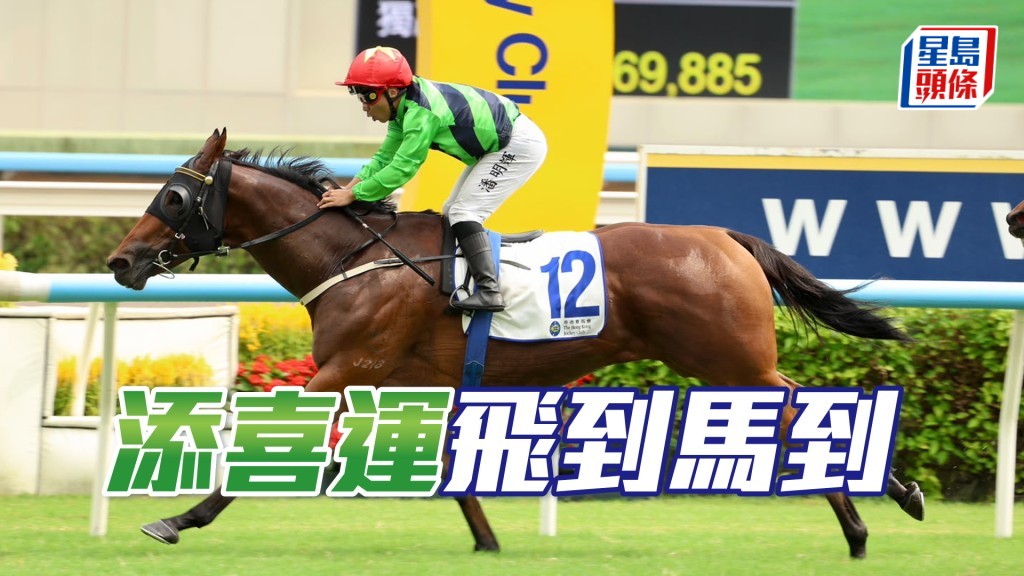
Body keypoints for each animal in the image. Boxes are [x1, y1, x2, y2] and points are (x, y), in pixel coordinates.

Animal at [107, 128, 924, 558]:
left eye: (172, 198)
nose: (121, 260)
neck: (352, 257)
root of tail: (725, 236)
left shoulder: (350, 365)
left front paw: (177, 518)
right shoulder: (414, 378)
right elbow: (452, 463)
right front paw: (487, 541)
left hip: (729, 360)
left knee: (801, 410)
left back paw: (874, 517)